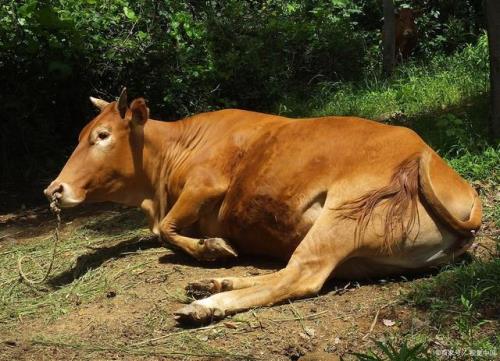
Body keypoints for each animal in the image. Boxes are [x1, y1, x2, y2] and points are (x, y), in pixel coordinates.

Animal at [46, 89, 480, 324]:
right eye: (82, 134)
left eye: (103, 135)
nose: (54, 189)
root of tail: (427, 155)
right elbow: (162, 230)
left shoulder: (207, 184)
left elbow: (165, 229)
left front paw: (214, 249)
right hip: (362, 255)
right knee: (291, 271)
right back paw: (214, 285)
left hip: (342, 214)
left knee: (301, 276)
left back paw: (208, 303)